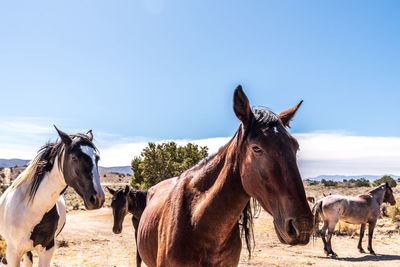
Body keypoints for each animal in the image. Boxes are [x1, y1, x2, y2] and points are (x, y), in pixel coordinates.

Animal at [0, 127, 104, 267]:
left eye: (97, 158)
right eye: (74, 158)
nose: (98, 198)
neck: (30, 209)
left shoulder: (48, 248)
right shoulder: (12, 252)